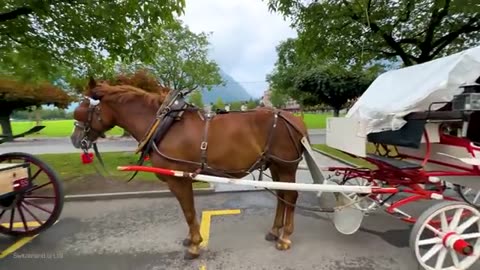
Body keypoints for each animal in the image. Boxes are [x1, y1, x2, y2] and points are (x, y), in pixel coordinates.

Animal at [69, 77, 310, 260]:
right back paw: (275, 231)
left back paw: (285, 237)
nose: (75, 139)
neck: (163, 125)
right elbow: (189, 212)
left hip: (285, 167)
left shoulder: (179, 180)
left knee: (291, 196)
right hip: (276, 167)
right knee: (282, 197)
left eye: (81, 111)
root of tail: (294, 119)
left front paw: (194, 245)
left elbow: (188, 211)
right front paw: (190, 239)